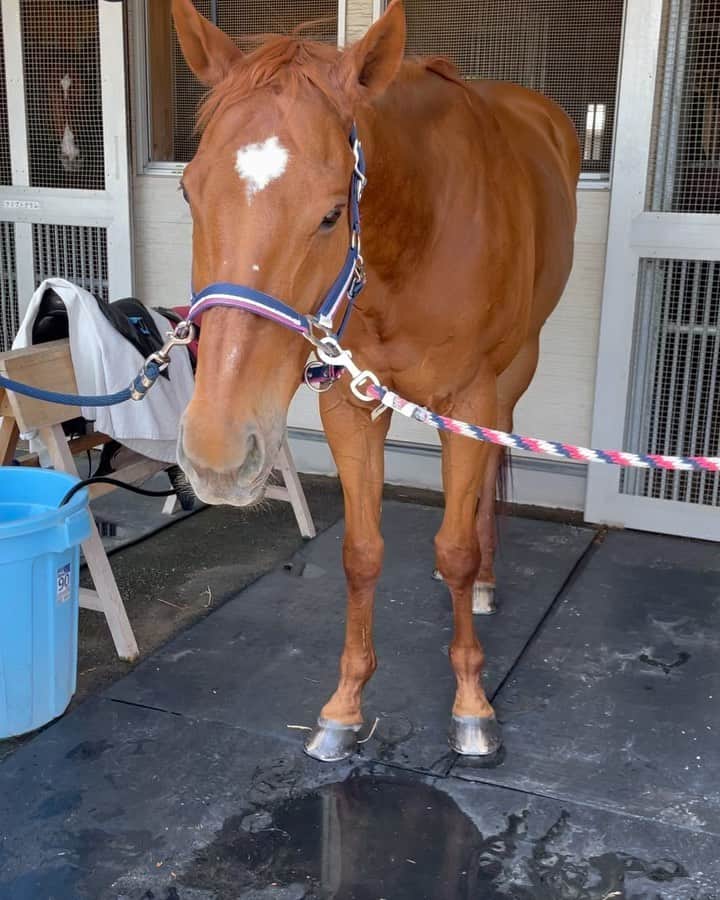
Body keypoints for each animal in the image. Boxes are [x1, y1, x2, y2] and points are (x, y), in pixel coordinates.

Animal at [171, 0, 580, 761]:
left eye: (333, 211)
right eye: (187, 192)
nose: (217, 452)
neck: (412, 236)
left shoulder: (469, 397)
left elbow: (454, 547)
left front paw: (472, 704)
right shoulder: (348, 400)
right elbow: (361, 554)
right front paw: (344, 707)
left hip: (514, 371)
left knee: (492, 468)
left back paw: (486, 580)